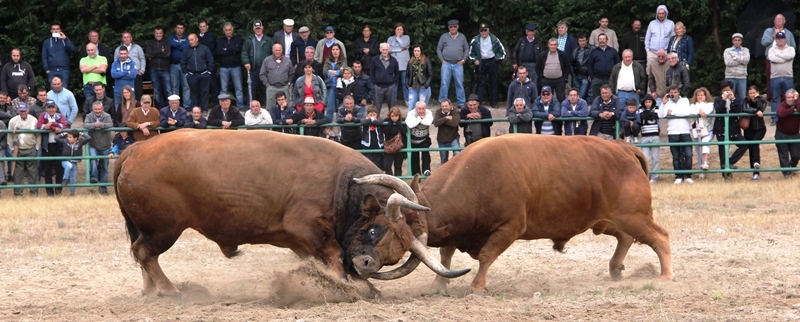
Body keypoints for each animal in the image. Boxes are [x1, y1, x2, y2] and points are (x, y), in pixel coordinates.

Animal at [115, 130, 472, 296]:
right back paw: (169, 290)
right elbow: (334, 255)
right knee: (145, 252)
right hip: (164, 229)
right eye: (375, 229)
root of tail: (136, 150)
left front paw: (365, 286)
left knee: (142, 254)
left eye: (394, 255)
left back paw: (151, 290)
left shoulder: (301, 242)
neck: (341, 186)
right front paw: (346, 287)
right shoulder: (305, 228)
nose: (367, 264)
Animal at [360, 133, 672, 292]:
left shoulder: (509, 228)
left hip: (633, 216)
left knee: (660, 237)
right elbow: (446, 255)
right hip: (606, 219)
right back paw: (616, 268)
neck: (479, 177)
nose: (365, 262)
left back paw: (665, 276)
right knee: (626, 238)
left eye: (394, 232)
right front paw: (439, 284)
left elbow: (486, 256)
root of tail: (624, 148)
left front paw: (477, 286)